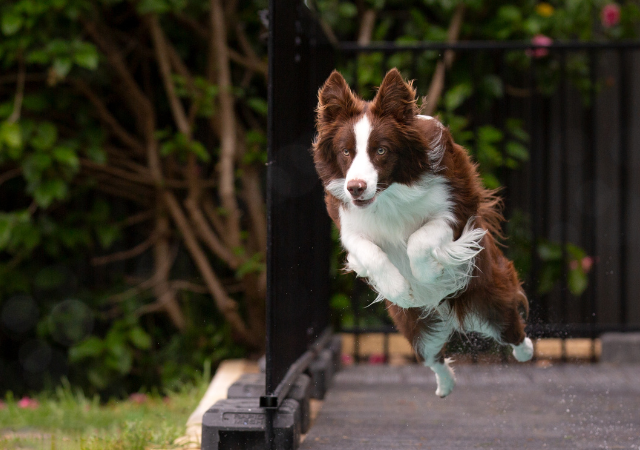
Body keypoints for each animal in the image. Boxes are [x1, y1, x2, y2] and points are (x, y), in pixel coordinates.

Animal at [312, 67, 532, 398]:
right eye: (346, 152)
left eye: (381, 150)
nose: (356, 188)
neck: (390, 193)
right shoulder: (348, 223)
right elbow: (369, 251)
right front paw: (400, 289)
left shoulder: (457, 208)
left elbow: (418, 239)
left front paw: (430, 273)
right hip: (413, 326)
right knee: (432, 355)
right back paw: (445, 385)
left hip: (488, 297)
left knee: (510, 326)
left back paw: (526, 350)